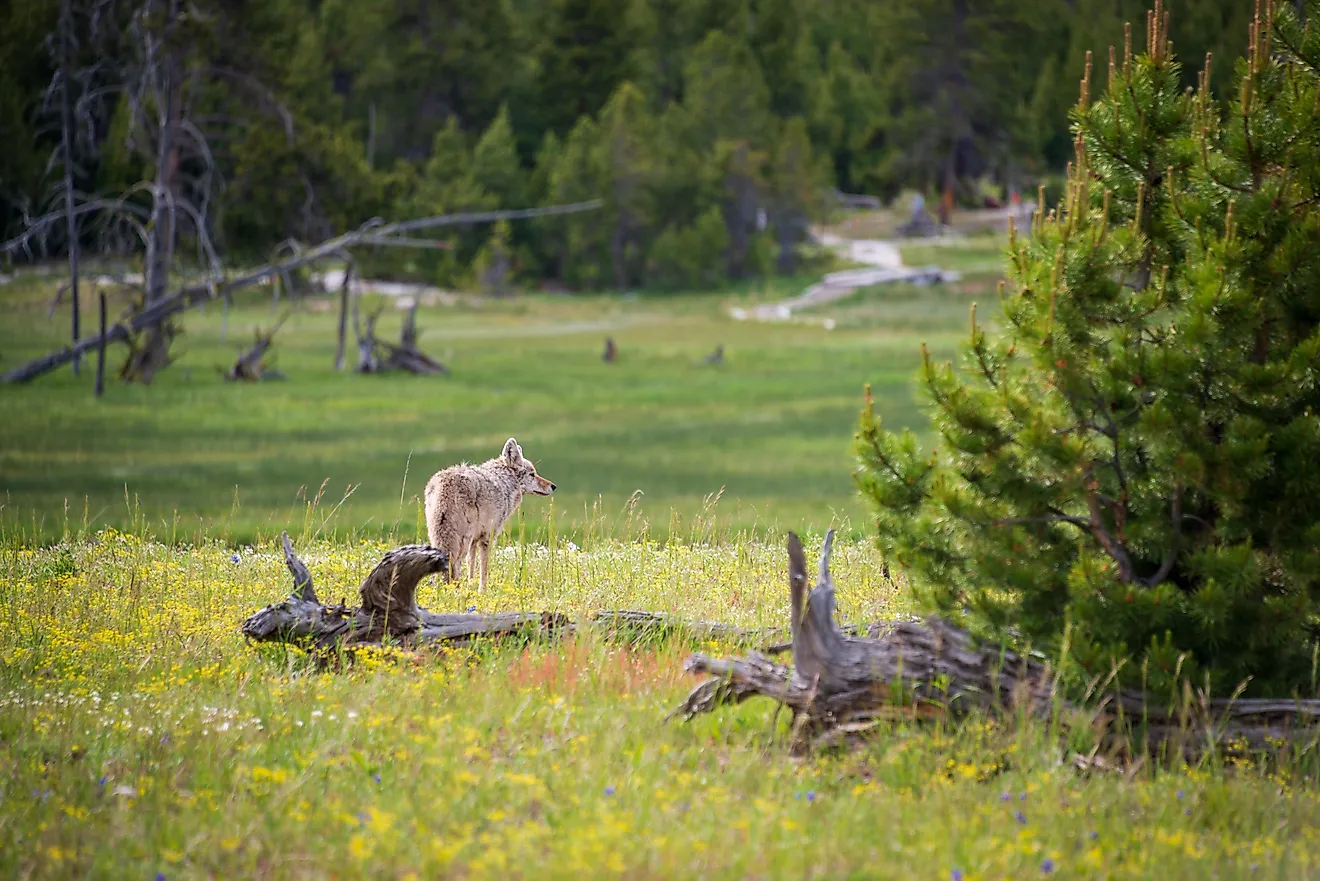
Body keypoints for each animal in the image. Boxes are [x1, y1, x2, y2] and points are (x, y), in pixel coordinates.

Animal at [424, 438, 556, 589]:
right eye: (532, 474)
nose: (553, 486)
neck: (505, 482)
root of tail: (444, 485)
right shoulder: (488, 538)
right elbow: (484, 570)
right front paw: (483, 591)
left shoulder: (475, 541)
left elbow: (471, 569)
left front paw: (471, 588)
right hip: (461, 543)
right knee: (455, 567)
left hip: (441, 539)